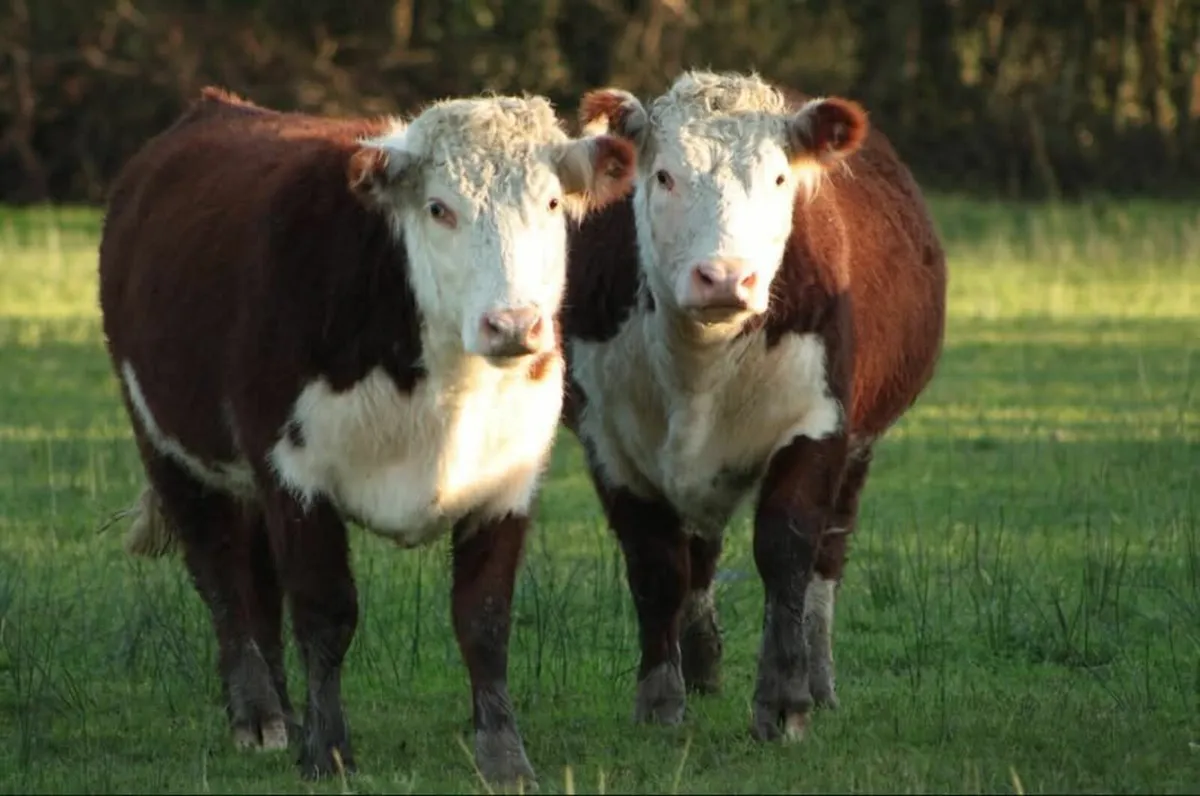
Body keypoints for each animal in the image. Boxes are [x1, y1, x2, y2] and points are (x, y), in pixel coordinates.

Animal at [98, 86, 635, 787]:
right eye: (439, 208)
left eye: (550, 203)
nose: (514, 324)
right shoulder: (294, 473)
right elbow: (326, 613)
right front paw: (327, 750)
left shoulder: (509, 481)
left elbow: (484, 619)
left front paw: (503, 754)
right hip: (170, 449)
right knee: (221, 577)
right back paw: (257, 715)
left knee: (259, 584)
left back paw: (281, 710)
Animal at [561, 70, 947, 741]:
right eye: (664, 176)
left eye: (778, 179)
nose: (724, 277)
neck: (699, 366)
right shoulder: (609, 444)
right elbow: (656, 566)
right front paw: (661, 701)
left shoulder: (817, 426)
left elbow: (786, 551)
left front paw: (784, 702)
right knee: (698, 555)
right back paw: (701, 668)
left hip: (859, 449)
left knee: (826, 558)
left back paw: (818, 679)